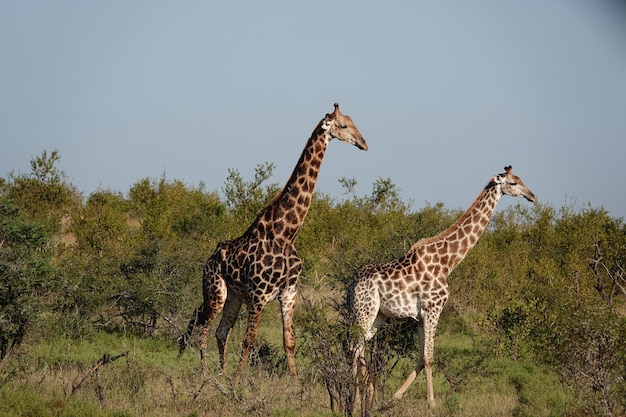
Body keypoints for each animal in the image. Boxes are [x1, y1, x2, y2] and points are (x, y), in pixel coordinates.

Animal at [179, 102, 366, 376]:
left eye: (354, 122)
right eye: (343, 125)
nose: (364, 143)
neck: (286, 233)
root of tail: (209, 259)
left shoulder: (288, 292)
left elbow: (289, 341)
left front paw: (295, 383)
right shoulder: (259, 294)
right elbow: (249, 341)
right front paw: (238, 381)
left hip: (234, 296)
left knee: (221, 331)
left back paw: (221, 374)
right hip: (216, 291)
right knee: (202, 327)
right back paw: (205, 374)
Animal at [346, 164, 532, 408]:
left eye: (521, 179)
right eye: (513, 183)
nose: (532, 196)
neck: (448, 261)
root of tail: (351, 285)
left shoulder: (419, 317)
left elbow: (420, 358)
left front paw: (395, 397)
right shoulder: (433, 309)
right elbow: (429, 358)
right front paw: (432, 403)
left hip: (377, 316)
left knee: (356, 347)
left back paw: (360, 396)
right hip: (364, 311)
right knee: (355, 346)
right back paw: (358, 399)